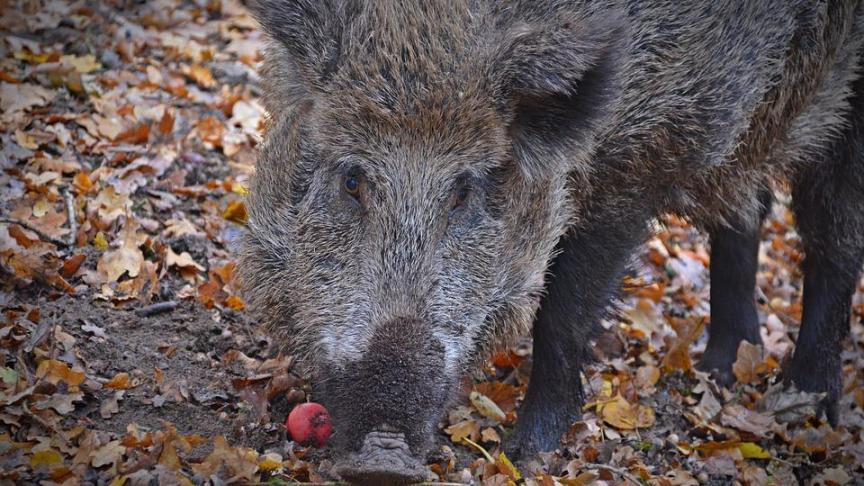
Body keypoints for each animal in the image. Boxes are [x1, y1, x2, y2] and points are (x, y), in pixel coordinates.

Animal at [239, 0, 864, 483]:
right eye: (352, 180)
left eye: (464, 189)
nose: (382, 460)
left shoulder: (639, 166)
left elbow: (563, 315)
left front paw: (527, 453)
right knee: (746, 208)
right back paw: (722, 369)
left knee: (832, 238)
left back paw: (806, 407)